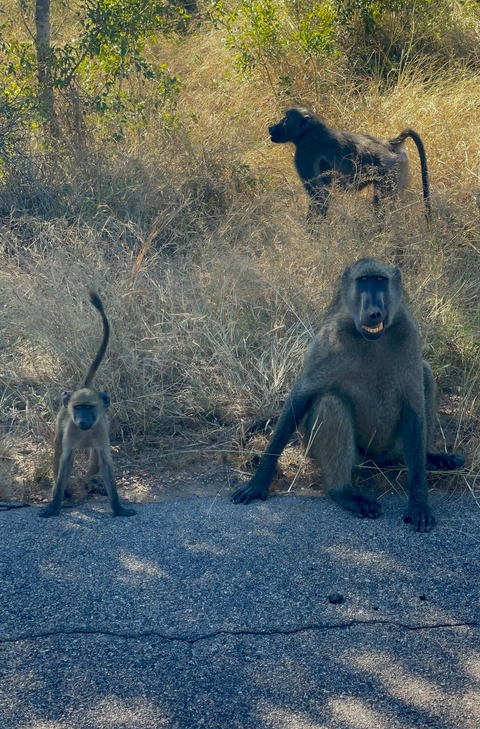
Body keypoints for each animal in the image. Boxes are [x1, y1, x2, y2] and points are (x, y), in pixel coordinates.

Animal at [40, 292, 136, 518]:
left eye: (89, 408)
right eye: (78, 408)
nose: (82, 420)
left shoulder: (100, 428)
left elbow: (106, 462)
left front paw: (117, 506)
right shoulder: (70, 430)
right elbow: (65, 459)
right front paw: (56, 501)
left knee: (94, 455)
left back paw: (91, 481)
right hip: (62, 423)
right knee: (58, 448)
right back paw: (64, 489)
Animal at [231, 258, 464, 532]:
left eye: (380, 281)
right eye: (363, 281)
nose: (374, 312)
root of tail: (377, 462)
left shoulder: (408, 332)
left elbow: (414, 405)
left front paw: (419, 501)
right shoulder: (330, 340)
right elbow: (301, 395)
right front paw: (259, 481)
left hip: (393, 448)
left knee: (425, 372)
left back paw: (429, 458)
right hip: (337, 454)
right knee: (331, 402)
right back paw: (344, 492)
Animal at [268, 107, 431, 220]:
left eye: (285, 118)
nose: (271, 127)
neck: (309, 131)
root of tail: (388, 145)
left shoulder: (305, 152)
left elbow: (321, 198)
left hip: (390, 170)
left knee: (383, 205)